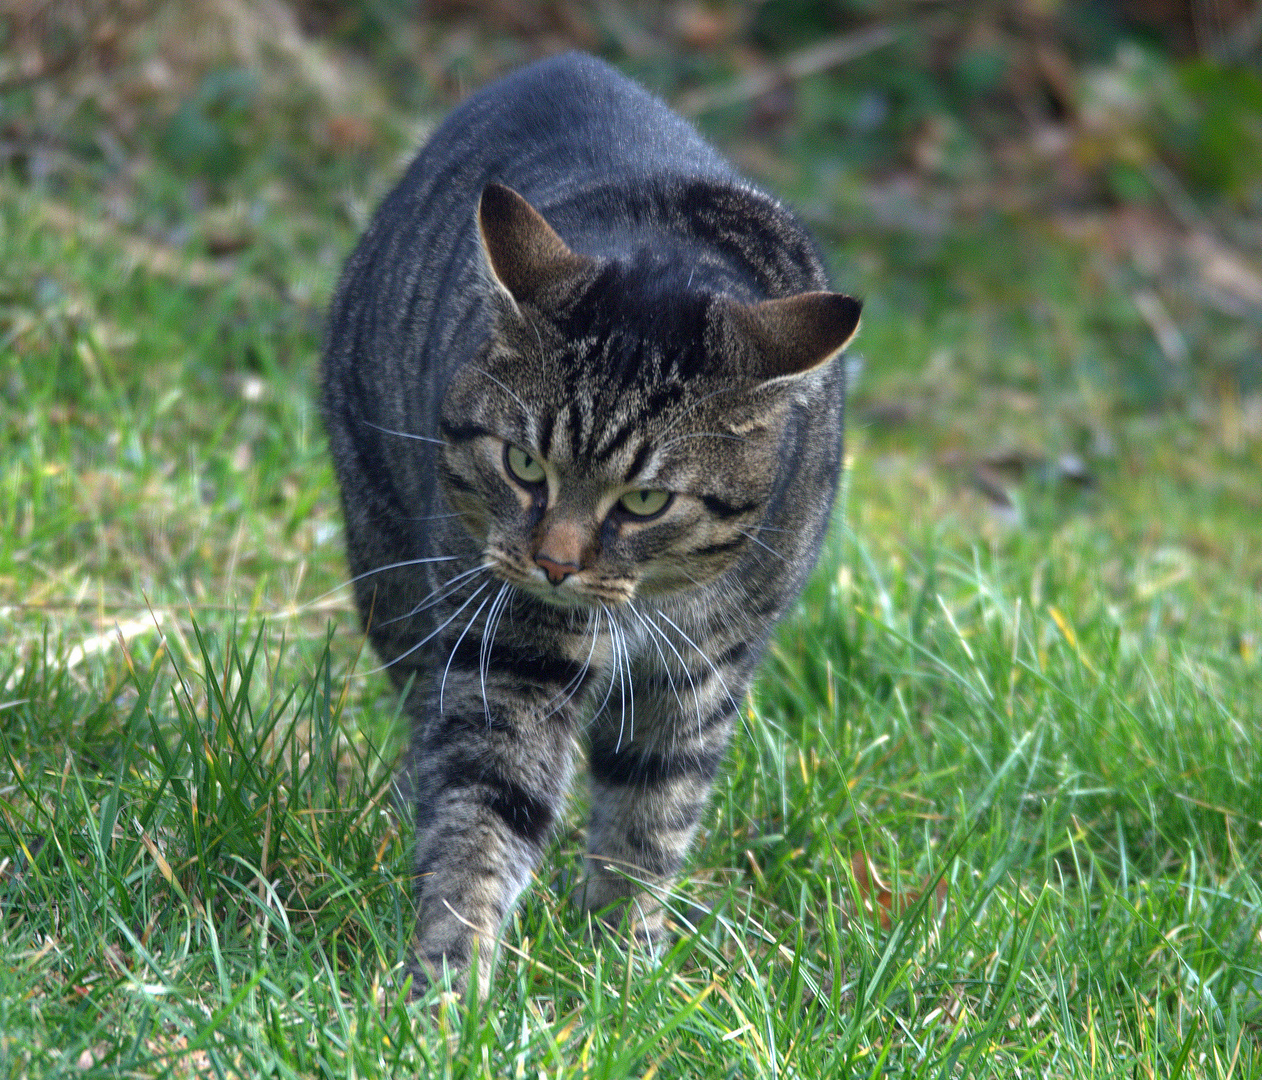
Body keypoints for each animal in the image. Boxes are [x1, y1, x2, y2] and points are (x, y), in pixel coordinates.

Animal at [320, 50, 863, 994]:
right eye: (523, 465)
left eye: (644, 501)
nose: (556, 563)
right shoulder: (510, 647)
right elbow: (487, 805)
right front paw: (450, 980)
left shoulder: (702, 669)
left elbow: (653, 814)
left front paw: (623, 964)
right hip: (391, 561)